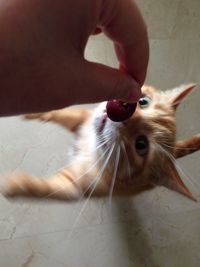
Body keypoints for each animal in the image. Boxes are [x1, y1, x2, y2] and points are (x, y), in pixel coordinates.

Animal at [0, 85, 199, 202]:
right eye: (143, 102)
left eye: (141, 145)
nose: (126, 116)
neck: (91, 147)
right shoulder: (81, 118)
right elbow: (59, 113)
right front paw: (35, 112)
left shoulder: (74, 186)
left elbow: (43, 188)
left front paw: (16, 183)